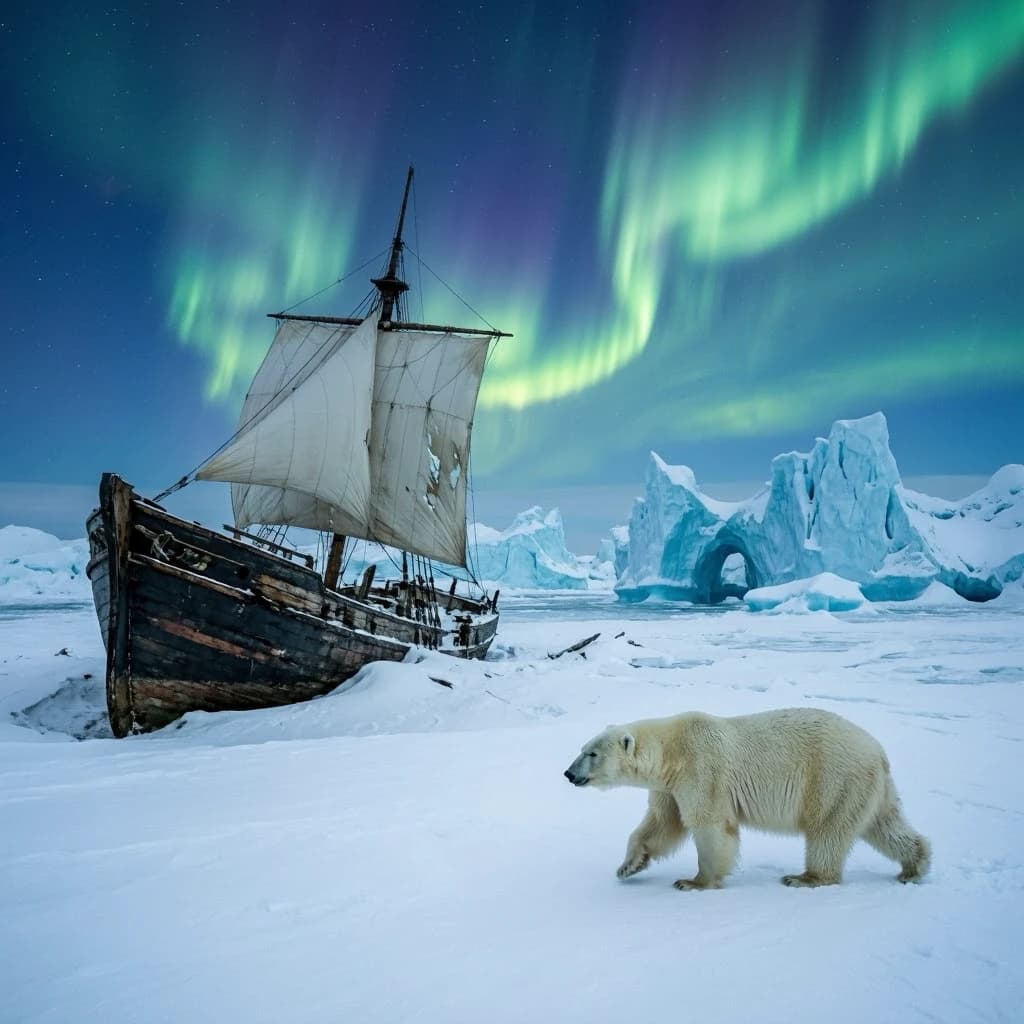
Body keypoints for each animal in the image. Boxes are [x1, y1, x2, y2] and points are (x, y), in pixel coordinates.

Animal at [564, 707, 930, 889]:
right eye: (582, 748)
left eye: (591, 753)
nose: (568, 773)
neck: (671, 752)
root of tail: (878, 752)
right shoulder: (669, 787)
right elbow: (661, 823)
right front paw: (628, 866)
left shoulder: (702, 768)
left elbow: (709, 825)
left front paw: (693, 882)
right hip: (867, 786)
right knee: (884, 824)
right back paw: (914, 866)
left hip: (833, 776)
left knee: (827, 830)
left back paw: (805, 877)